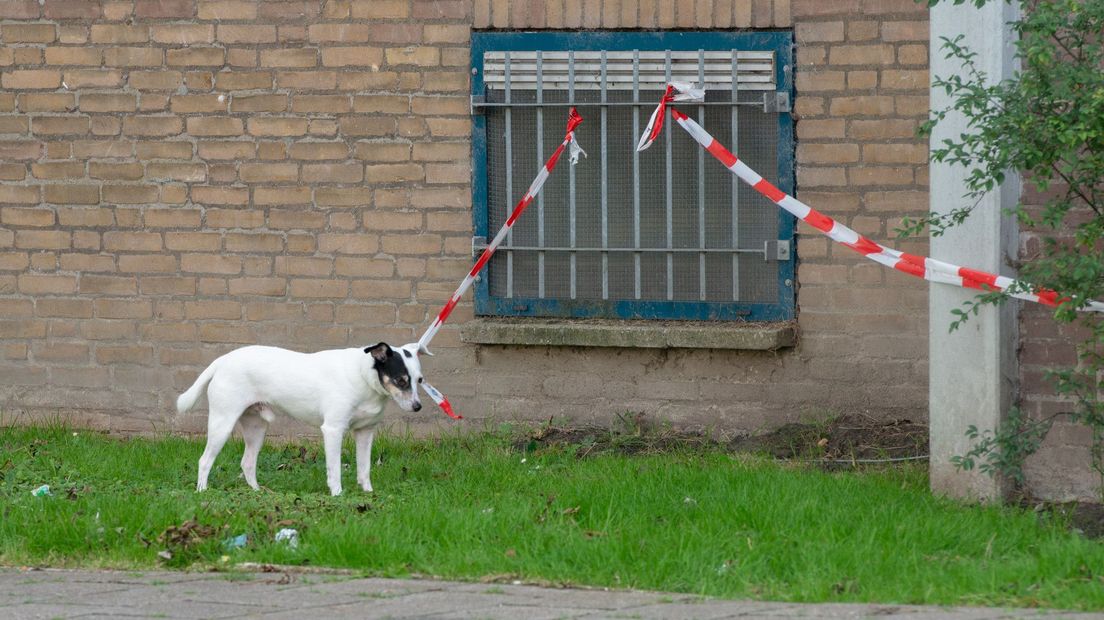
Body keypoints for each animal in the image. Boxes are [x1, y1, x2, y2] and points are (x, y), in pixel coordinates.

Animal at [176, 339, 421, 494]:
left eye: (419, 380)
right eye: (401, 380)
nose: (418, 406)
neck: (362, 376)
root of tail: (223, 360)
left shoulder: (365, 433)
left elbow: (364, 468)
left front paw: (368, 494)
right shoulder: (333, 430)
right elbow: (335, 470)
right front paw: (338, 495)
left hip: (256, 428)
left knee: (247, 463)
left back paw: (258, 492)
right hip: (222, 423)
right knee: (205, 461)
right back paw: (202, 491)